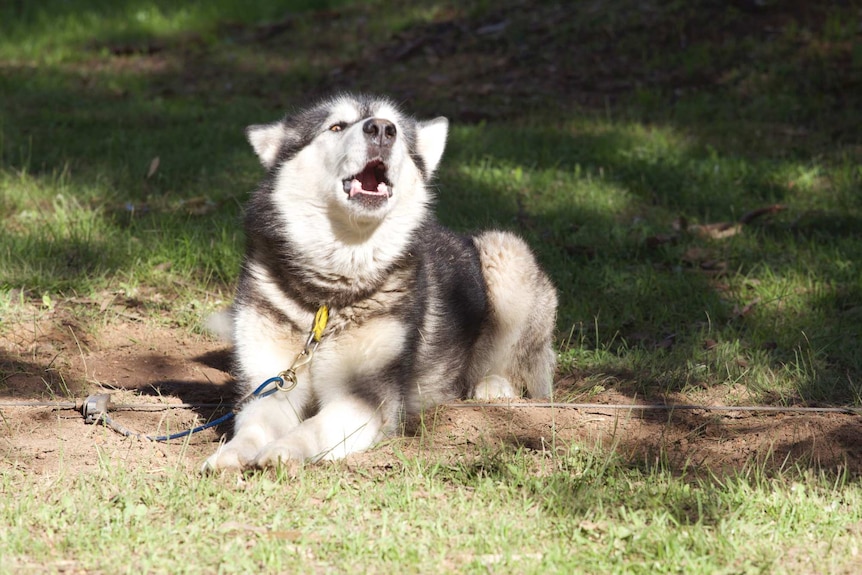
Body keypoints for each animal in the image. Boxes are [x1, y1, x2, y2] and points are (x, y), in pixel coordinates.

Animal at [204, 94, 560, 472]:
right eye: (336, 126)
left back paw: (494, 385)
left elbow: (313, 427)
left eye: (397, 130)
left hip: (506, 252)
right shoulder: (272, 383)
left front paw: (283, 450)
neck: (331, 292)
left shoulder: (367, 397)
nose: (381, 129)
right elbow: (253, 426)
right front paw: (231, 453)